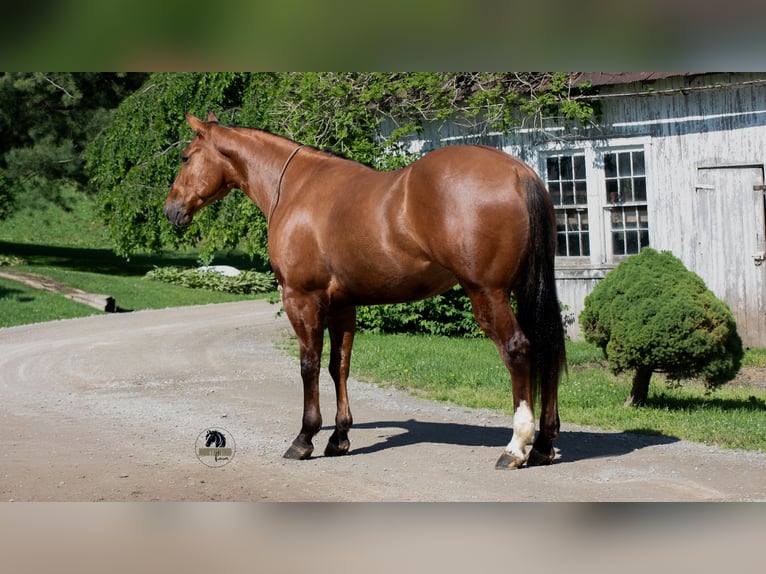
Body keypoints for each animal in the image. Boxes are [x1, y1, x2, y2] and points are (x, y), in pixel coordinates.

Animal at [165, 112, 566, 469]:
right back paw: (543, 445)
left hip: (488, 293)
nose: (171, 209)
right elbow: (338, 366)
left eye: (186, 156)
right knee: (546, 349)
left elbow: (309, 365)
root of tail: (518, 172)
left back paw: (516, 447)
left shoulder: (301, 298)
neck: (296, 187)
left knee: (518, 350)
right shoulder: (343, 305)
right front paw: (339, 437)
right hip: (525, 289)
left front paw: (304, 439)